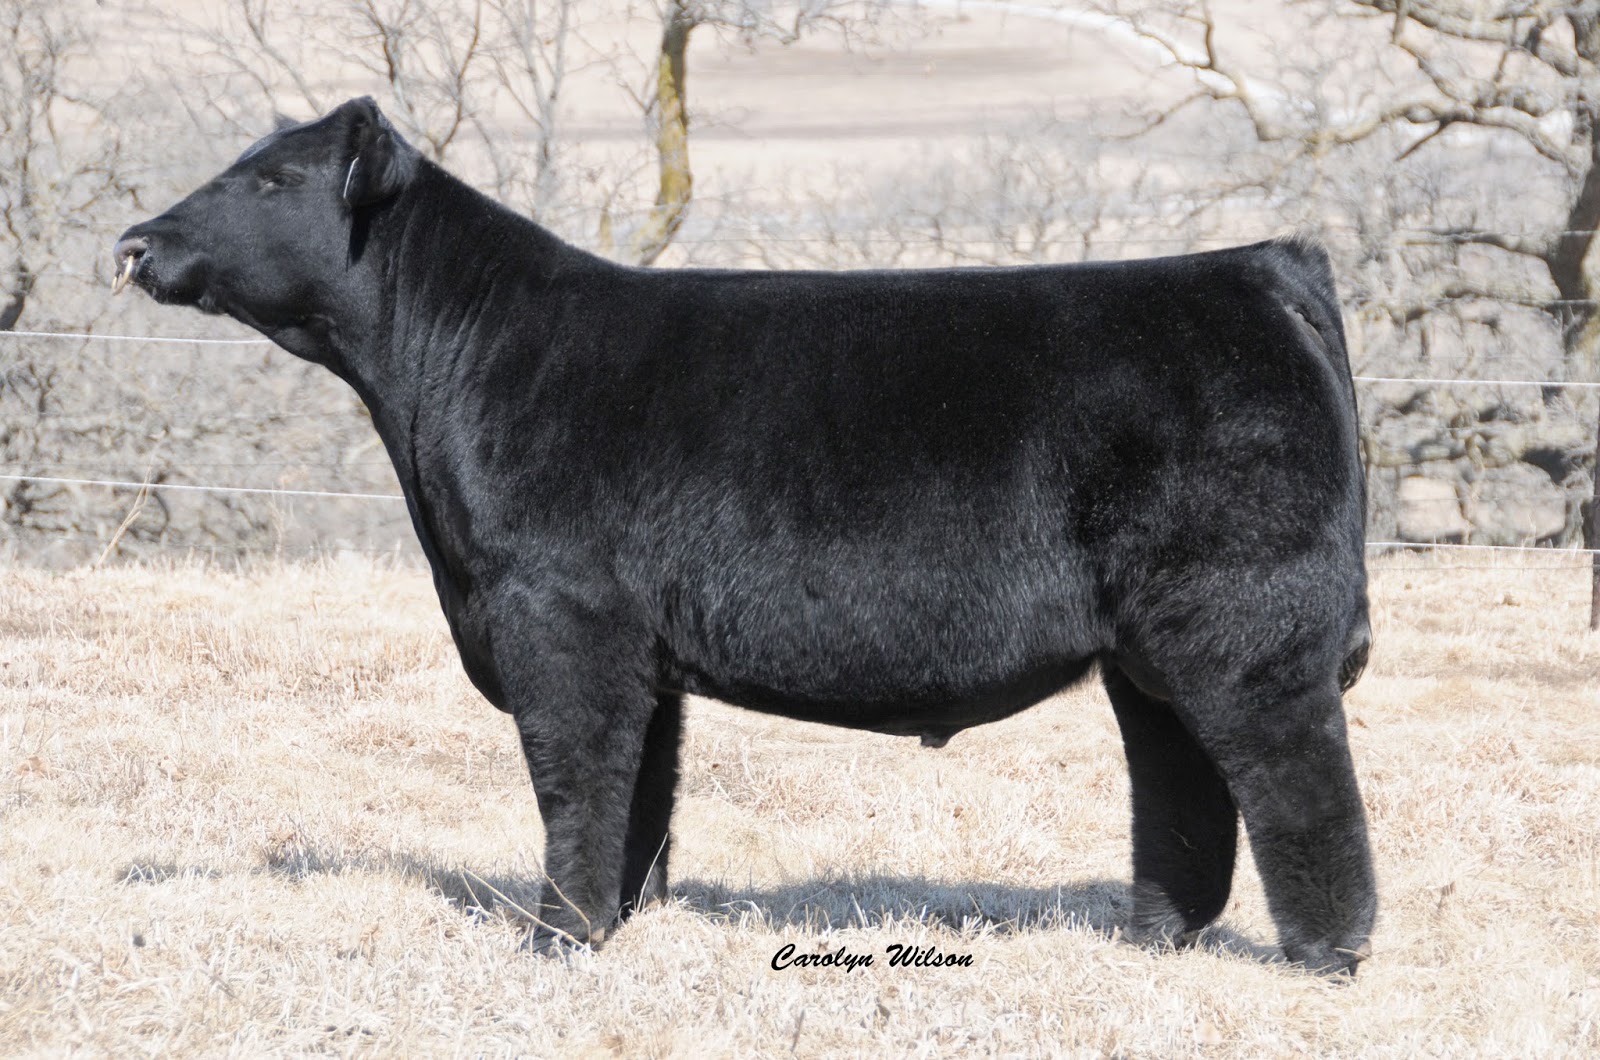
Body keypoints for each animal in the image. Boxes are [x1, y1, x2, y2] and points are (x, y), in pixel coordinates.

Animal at [112, 97, 1376, 975]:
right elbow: (640, 796)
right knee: (1183, 781)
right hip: (1151, 647)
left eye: (272, 177)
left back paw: (1327, 954)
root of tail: (1256, 266)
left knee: (1295, 777)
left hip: (1245, 625)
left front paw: (553, 938)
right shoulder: (639, 648)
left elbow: (574, 781)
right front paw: (614, 922)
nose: (133, 243)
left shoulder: (558, 620)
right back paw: (1150, 937)